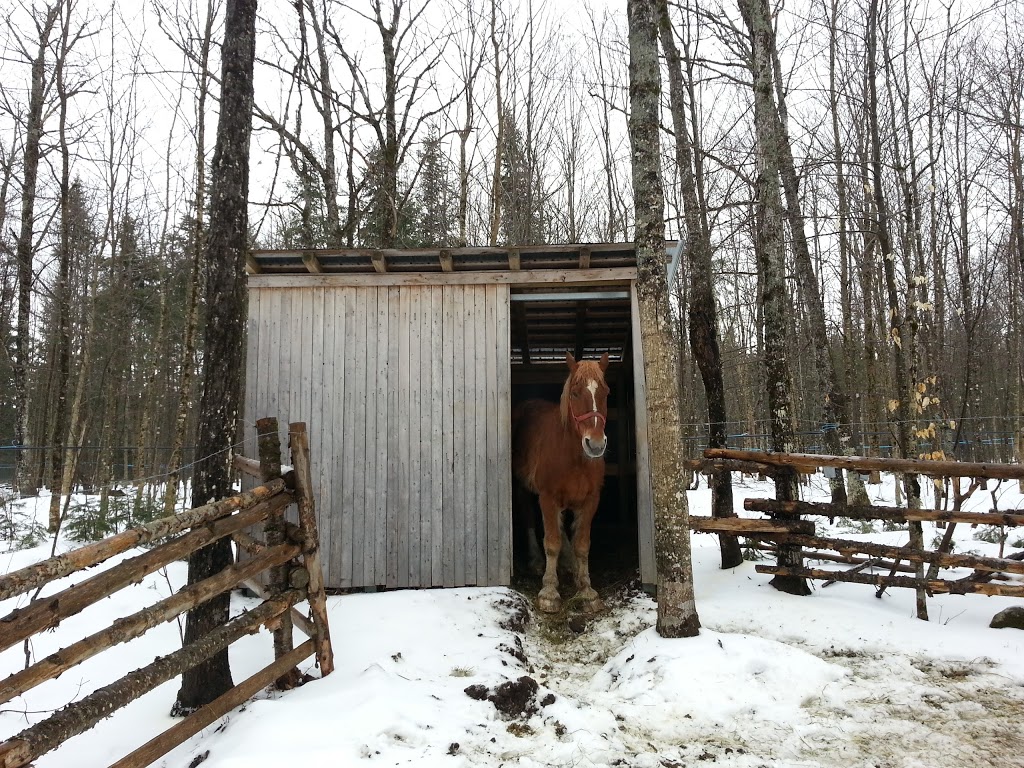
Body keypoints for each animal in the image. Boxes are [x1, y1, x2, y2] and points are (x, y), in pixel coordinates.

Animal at [509, 354, 606, 614]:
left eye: (606, 392)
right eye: (575, 393)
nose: (595, 444)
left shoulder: (591, 500)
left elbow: (582, 544)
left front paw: (586, 590)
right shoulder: (548, 497)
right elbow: (551, 542)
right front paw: (549, 593)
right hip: (523, 489)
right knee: (529, 516)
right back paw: (535, 561)